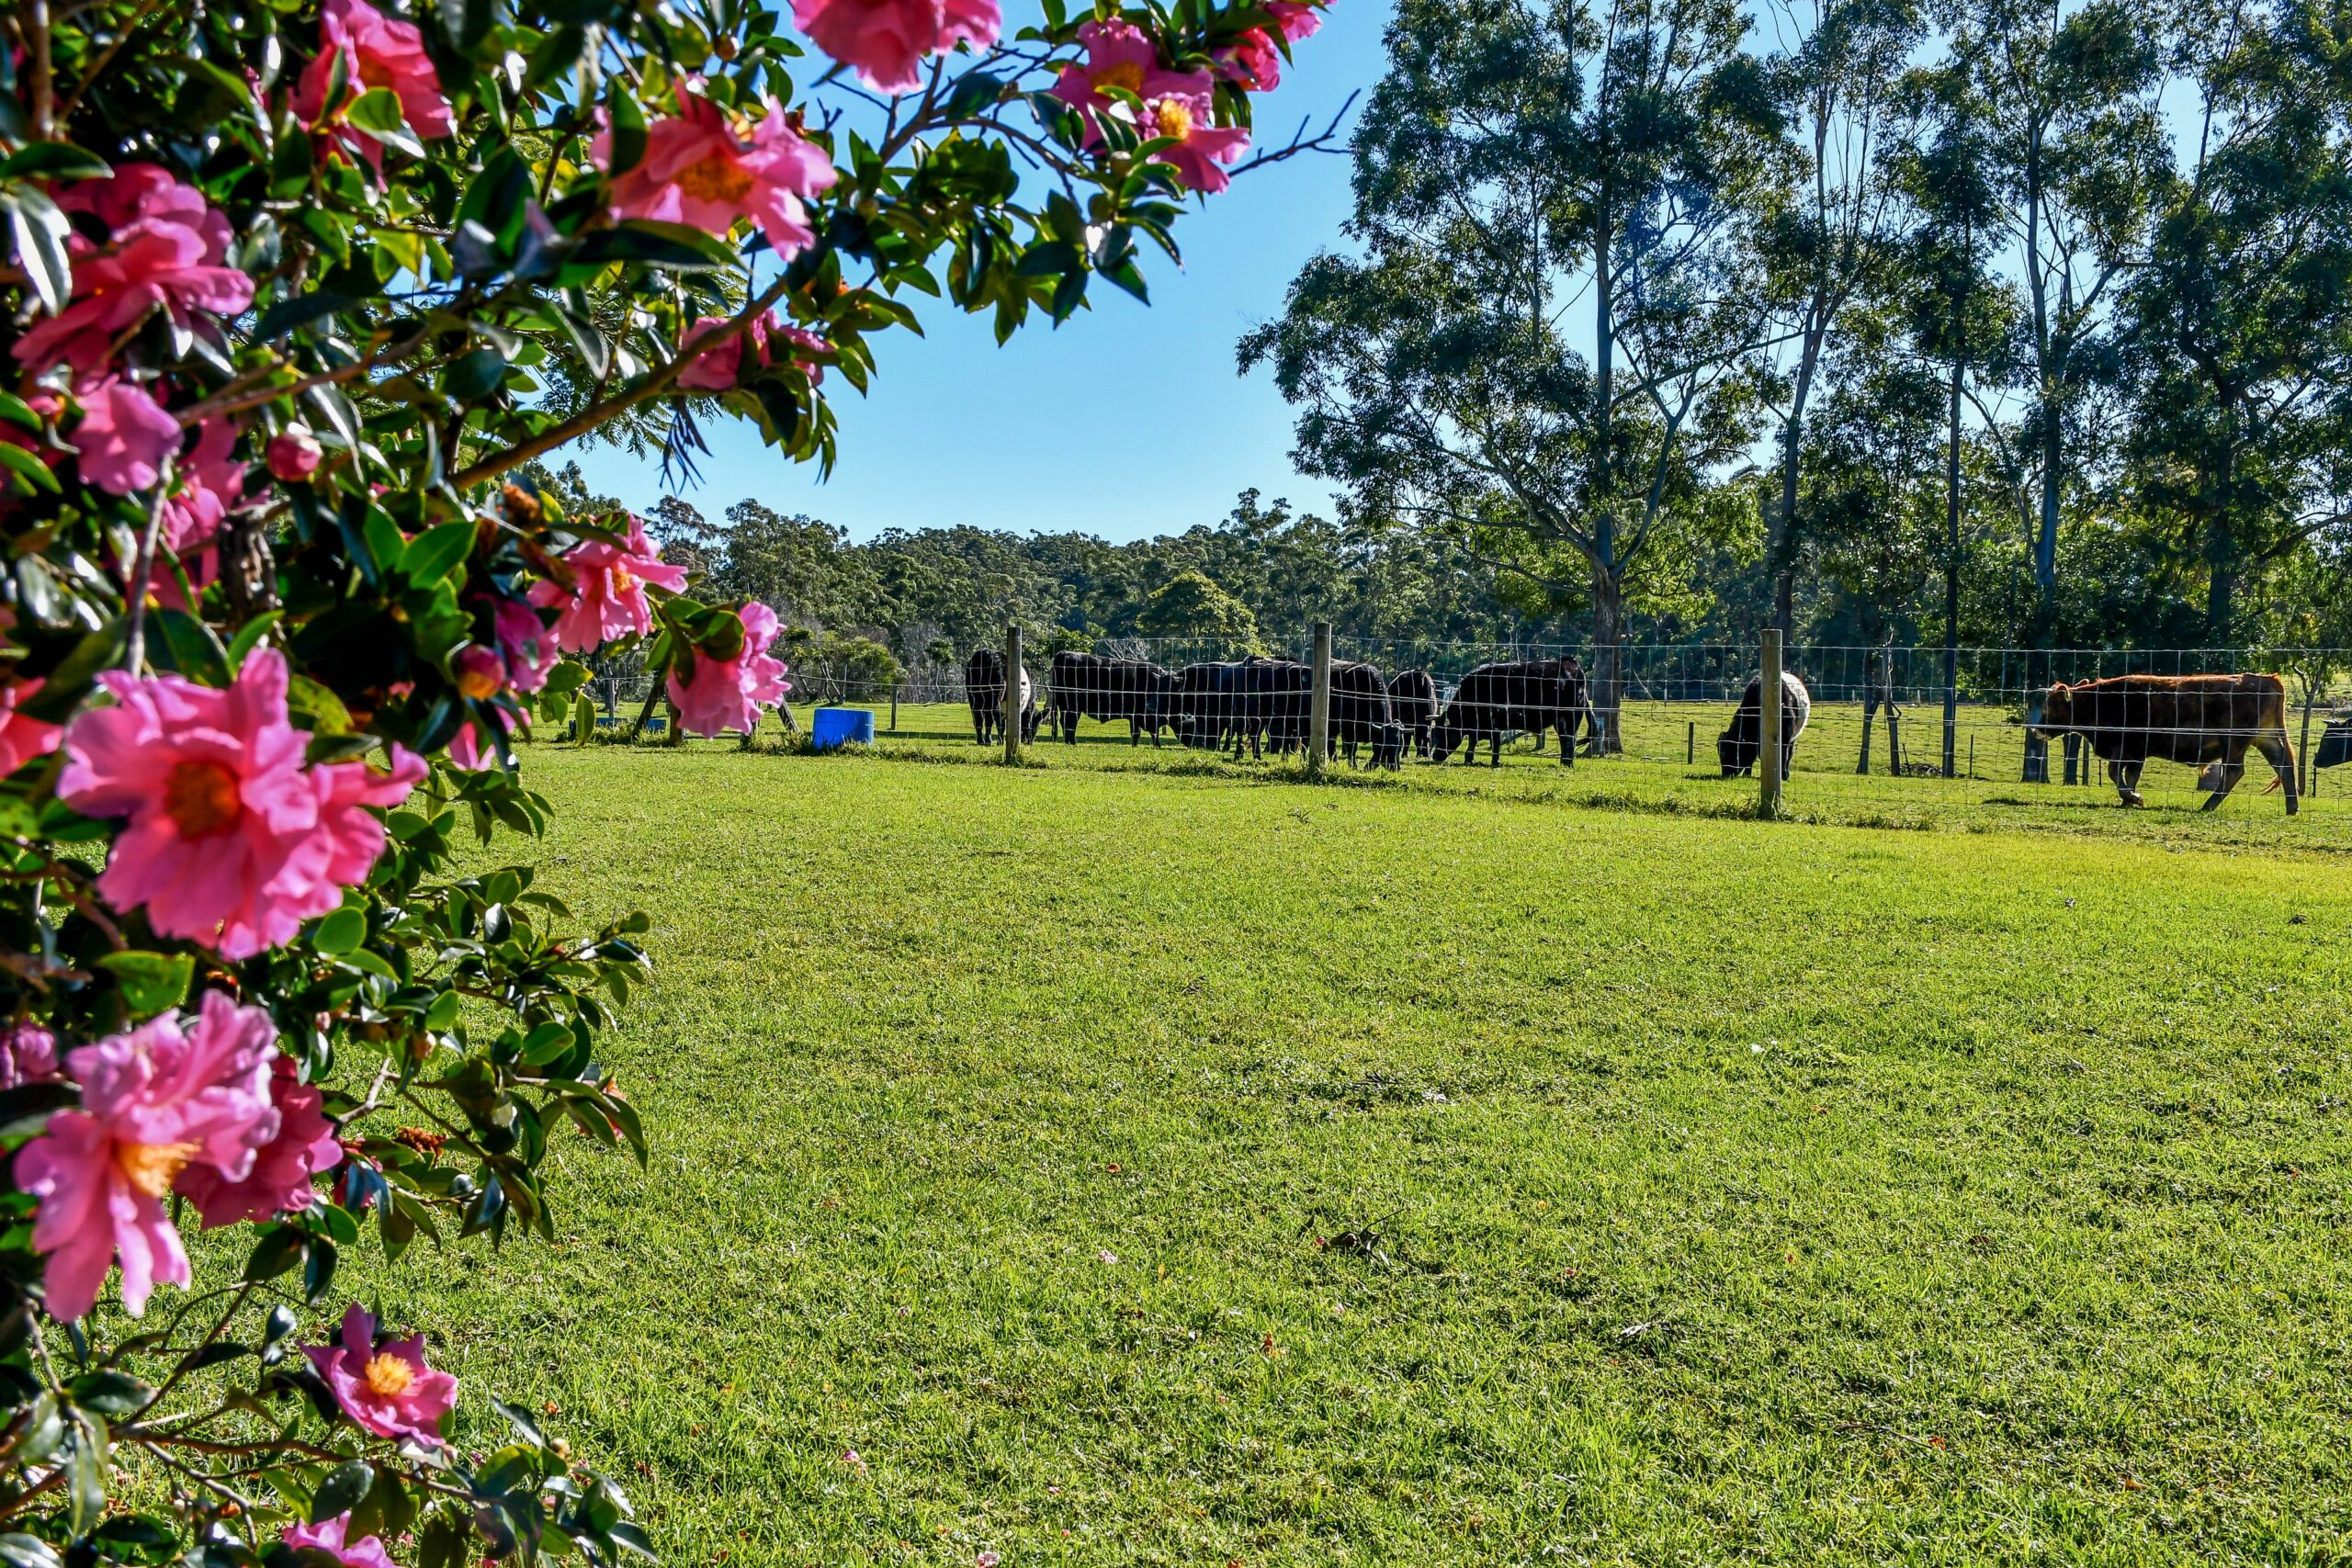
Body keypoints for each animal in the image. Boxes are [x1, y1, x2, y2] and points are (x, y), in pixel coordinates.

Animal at [1048, 653, 1176, 747]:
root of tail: (1063, 653)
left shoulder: (1136, 717)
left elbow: (1138, 732)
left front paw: (1136, 746)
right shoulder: (1142, 715)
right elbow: (1149, 732)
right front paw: (1157, 745)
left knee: (1066, 722)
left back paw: (1069, 742)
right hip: (1071, 706)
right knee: (1068, 722)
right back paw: (1072, 742)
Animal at [1420, 658, 1589, 766]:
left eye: (1445, 733)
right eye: (1434, 734)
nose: (1435, 756)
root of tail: (1570, 663)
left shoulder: (1495, 723)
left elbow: (1495, 742)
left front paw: (1495, 762)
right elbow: (1473, 741)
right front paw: (1469, 758)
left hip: (1570, 717)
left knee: (1568, 739)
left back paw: (1567, 763)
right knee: (1566, 739)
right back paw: (1565, 761)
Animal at [2022, 671, 2295, 818]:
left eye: (2051, 707)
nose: (2037, 730)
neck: (2107, 701)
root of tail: (2266, 679)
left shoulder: (2130, 748)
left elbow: (2114, 772)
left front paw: (2134, 797)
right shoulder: (2136, 754)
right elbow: (2128, 775)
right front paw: (2128, 800)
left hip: (2235, 743)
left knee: (2235, 772)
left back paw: (2208, 805)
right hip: (2266, 739)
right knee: (2285, 766)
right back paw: (2292, 808)